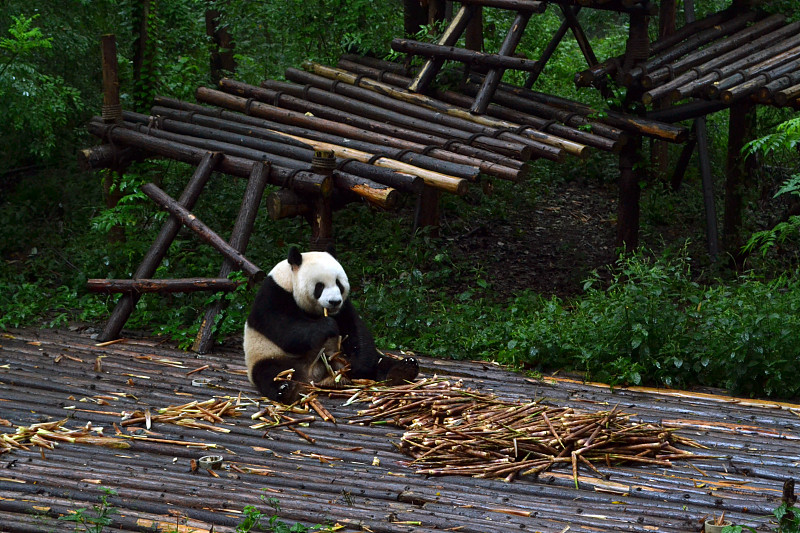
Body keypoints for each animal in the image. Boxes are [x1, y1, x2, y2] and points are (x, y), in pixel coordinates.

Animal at [242, 244, 418, 400]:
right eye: (319, 286)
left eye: (339, 283)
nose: (334, 302)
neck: (289, 280)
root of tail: (314, 375)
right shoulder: (272, 295)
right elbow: (284, 329)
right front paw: (327, 326)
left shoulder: (344, 306)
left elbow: (355, 329)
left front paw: (359, 365)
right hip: (270, 356)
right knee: (271, 373)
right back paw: (286, 389)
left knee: (381, 361)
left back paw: (404, 369)